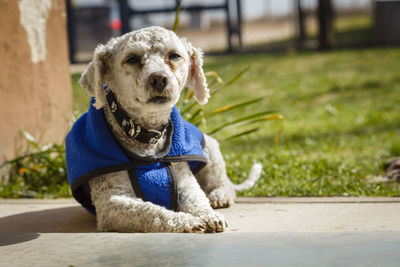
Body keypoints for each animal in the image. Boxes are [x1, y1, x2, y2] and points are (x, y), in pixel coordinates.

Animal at [65, 26, 262, 233]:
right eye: (132, 59)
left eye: (174, 55)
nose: (159, 78)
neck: (146, 136)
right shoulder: (111, 202)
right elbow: (149, 211)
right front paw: (187, 221)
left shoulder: (185, 182)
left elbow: (198, 201)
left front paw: (210, 216)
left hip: (210, 149)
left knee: (223, 183)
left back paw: (219, 196)